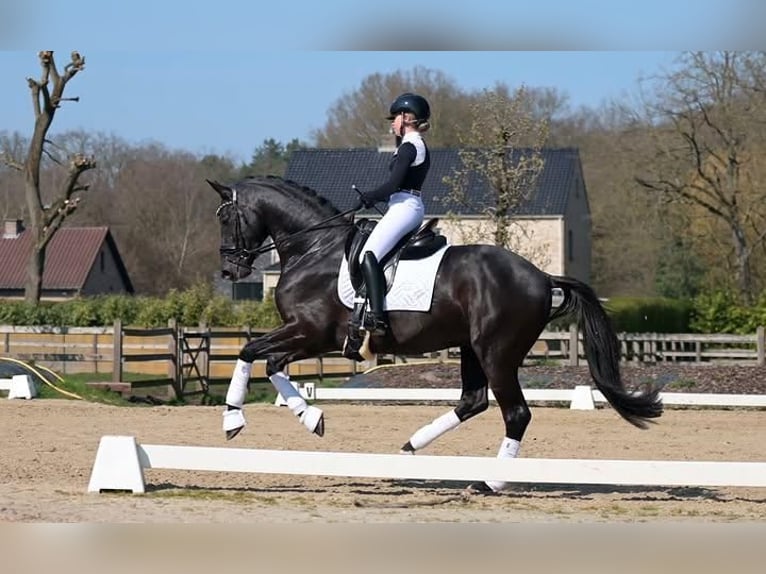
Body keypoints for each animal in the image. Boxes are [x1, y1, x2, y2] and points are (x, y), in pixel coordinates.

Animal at [209, 175, 662, 493]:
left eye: (226, 218)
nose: (229, 271)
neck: (314, 249)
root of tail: (542, 277)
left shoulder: (310, 332)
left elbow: (251, 352)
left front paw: (234, 419)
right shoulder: (306, 337)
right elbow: (270, 362)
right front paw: (311, 416)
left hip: (497, 353)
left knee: (515, 413)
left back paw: (489, 482)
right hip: (471, 348)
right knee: (472, 401)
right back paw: (414, 445)